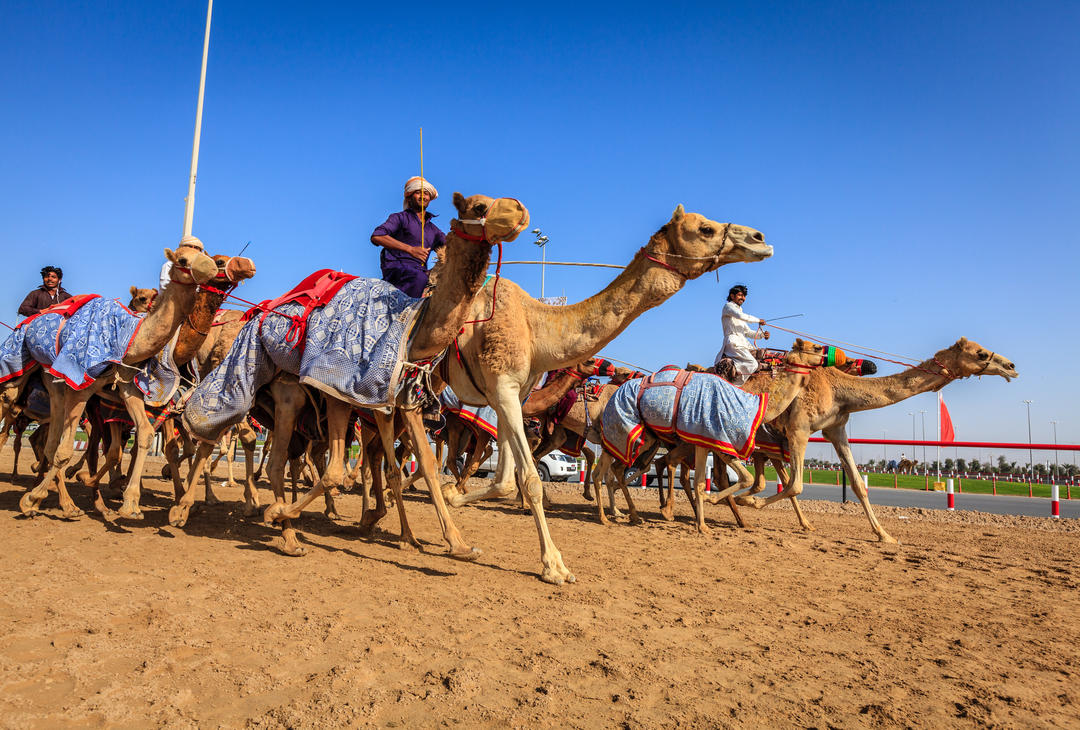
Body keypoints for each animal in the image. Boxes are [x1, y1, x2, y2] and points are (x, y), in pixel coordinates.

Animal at [14, 244, 219, 518]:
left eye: (205, 252)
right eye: (183, 259)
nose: (213, 267)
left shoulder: (131, 390)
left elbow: (149, 438)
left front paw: (132, 500)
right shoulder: (87, 391)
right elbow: (81, 450)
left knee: (54, 443)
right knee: (58, 444)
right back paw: (60, 497)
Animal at [171, 192, 527, 557]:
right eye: (479, 206)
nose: (519, 210)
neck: (412, 330)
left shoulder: (397, 404)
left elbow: (419, 465)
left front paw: (451, 542)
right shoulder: (338, 391)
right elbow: (339, 470)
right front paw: (288, 511)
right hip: (282, 393)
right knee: (250, 448)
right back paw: (245, 519)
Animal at [440, 206, 777, 587]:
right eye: (705, 229)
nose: (760, 239)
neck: (536, 329)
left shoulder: (513, 395)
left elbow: (506, 478)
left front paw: (455, 496)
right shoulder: (504, 389)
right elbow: (530, 476)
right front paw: (556, 565)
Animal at [734, 336, 1010, 542]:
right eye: (981, 354)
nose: (1011, 367)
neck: (838, 391)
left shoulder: (836, 429)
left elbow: (858, 485)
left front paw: (884, 535)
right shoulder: (799, 429)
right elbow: (796, 485)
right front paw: (747, 500)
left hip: (763, 448)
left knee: (758, 477)